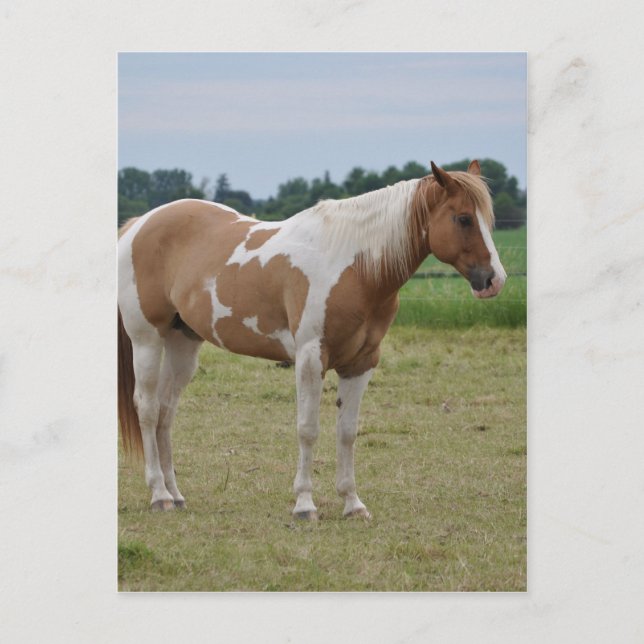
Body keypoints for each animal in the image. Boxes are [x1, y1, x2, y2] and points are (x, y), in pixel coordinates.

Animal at [117, 160, 506, 519]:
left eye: (487, 219)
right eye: (463, 219)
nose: (494, 280)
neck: (354, 267)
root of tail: (138, 224)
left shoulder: (361, 363)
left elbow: (347, 432)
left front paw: (352, 503)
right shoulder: (309, 358)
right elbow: (308, 429)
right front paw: (304, 504)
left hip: (182, 342)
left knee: (166, 411)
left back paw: (175, 494)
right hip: (147, 339)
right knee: (148, 409)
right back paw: (159, 495)